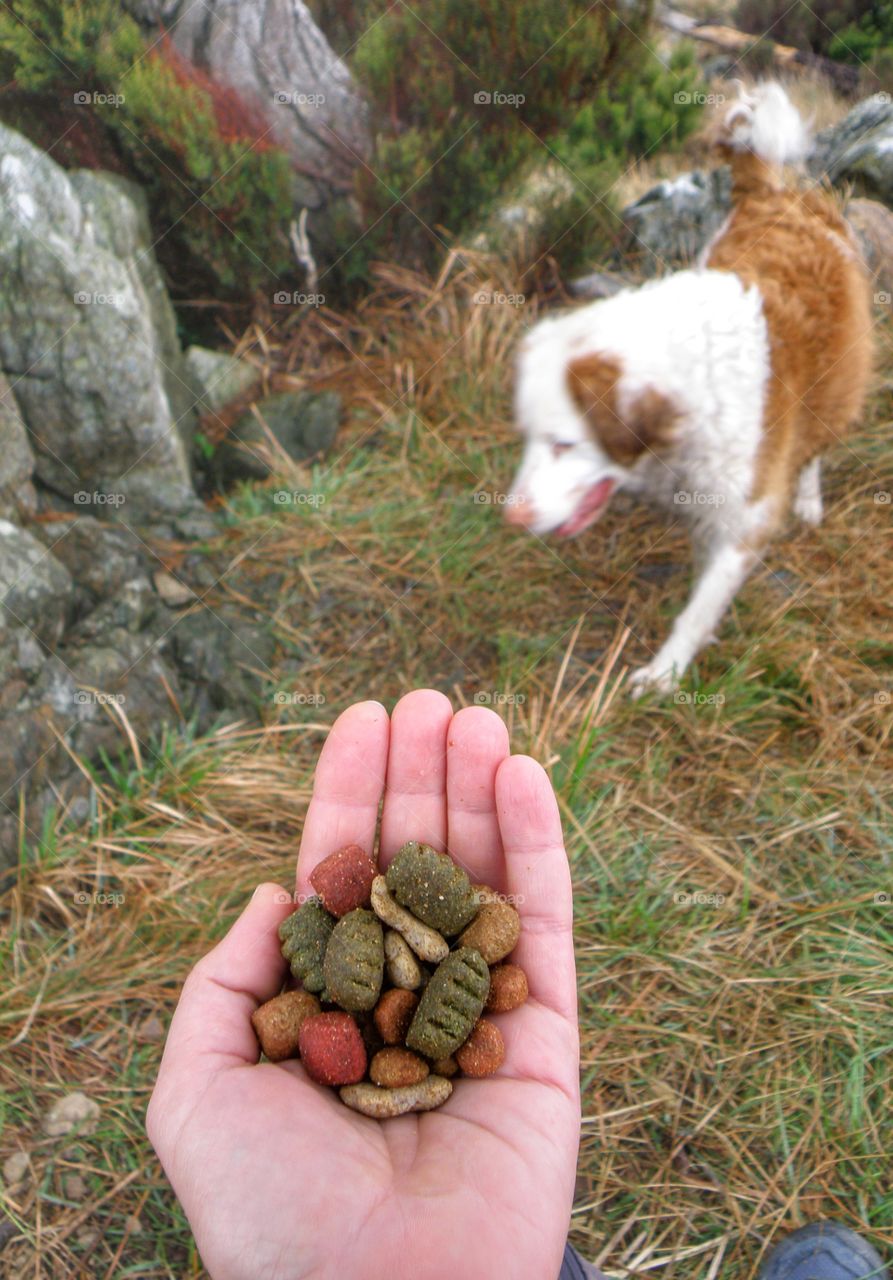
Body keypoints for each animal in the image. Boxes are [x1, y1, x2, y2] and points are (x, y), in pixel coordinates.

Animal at [506, 82, 869, 691]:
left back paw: (809, 497)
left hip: (840, 380)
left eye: (564, 444)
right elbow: (706, 579)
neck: (690, 375)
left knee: (818, 441)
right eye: (529, 437)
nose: (512, 515)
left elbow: (699, 607)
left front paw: (665, 671)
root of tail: (776, 193)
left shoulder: (747, 515)